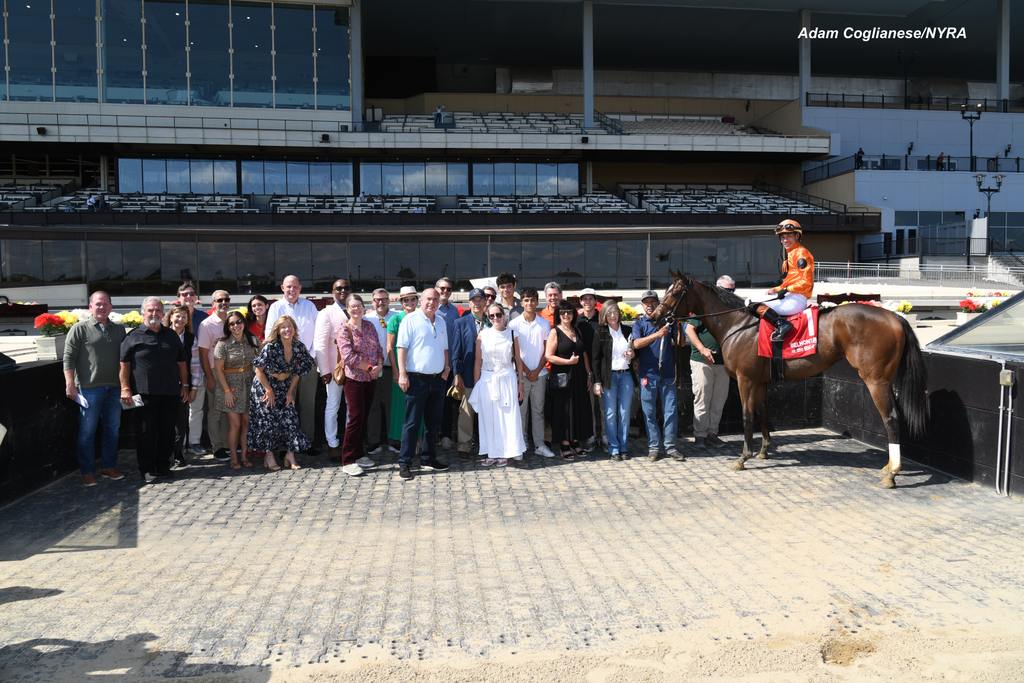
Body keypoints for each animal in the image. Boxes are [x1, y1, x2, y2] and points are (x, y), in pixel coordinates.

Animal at [655, 270, 929, 489]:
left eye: (674, 292)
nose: (656, 317)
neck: (738, 324)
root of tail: (896, 317)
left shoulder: (745, 379)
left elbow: (747, 415)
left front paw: (744, 457)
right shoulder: (760, 381)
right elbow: (763, 412)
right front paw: (764, 450)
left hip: (876, 380)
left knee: (891, 419)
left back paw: (892, 473)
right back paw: (888, 467)